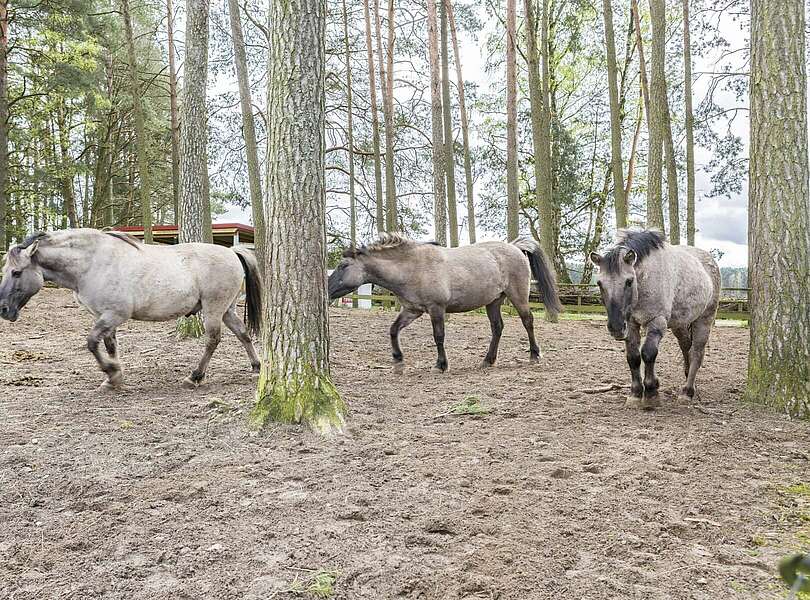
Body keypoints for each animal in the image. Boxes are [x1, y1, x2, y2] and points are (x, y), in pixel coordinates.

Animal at [0, 229, 260, 390]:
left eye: (16, 272)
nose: (3, 309)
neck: (92, 263)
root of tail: (232, 252)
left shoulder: (114, 315)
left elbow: (91, 342)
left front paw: (111, 371)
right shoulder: (105, 316)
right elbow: (109, 345)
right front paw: (114, 378)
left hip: (213, 309)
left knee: (213, 340)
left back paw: (194, 376)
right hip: (227, 310)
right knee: (243, 334)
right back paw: (256, 367)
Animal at [326, 232, 560, 372]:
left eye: (343, 266)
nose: (326, 289)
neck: (413, 267)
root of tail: (514, 247)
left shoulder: (436, 309)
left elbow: (438, 336)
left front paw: (441, 364)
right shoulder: (412, 310)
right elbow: (393, 330)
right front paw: (398, 357)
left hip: (517, 296)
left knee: (528, 321)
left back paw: (534, 355)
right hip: (493, 301)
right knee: (497, 328)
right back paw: (488, 360)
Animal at [588, 229, 720, 408]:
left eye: (629, 281)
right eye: (600, 283)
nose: (616, 327)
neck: (646, 279)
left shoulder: (657, 322)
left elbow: (648, 353)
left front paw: (651, 392)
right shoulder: (631, 324)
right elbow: (633, 357)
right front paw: (636, 393)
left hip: (705, 319)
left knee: (697, 352)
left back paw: (687, 392)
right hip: (680, 324)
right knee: (687, 347)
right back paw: (688, 379)